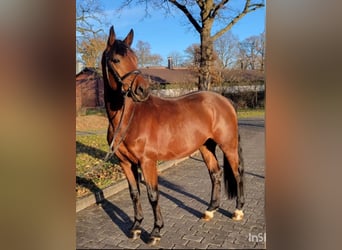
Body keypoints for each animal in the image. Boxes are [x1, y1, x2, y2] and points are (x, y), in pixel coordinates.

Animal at [100, 26, 244, 245]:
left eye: (135, 58)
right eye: (116, 59)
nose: (142, 90)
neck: (128, 119)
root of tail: (225, 101)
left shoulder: (147, 162)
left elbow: (153, 195)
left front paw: (155, 231)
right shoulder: (125, 163)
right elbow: (135, 194)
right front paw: (135, 227)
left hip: (228, 146)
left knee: (237, 174)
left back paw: (238, 210)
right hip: (206, 146)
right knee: (215, 174)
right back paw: (210, 210)